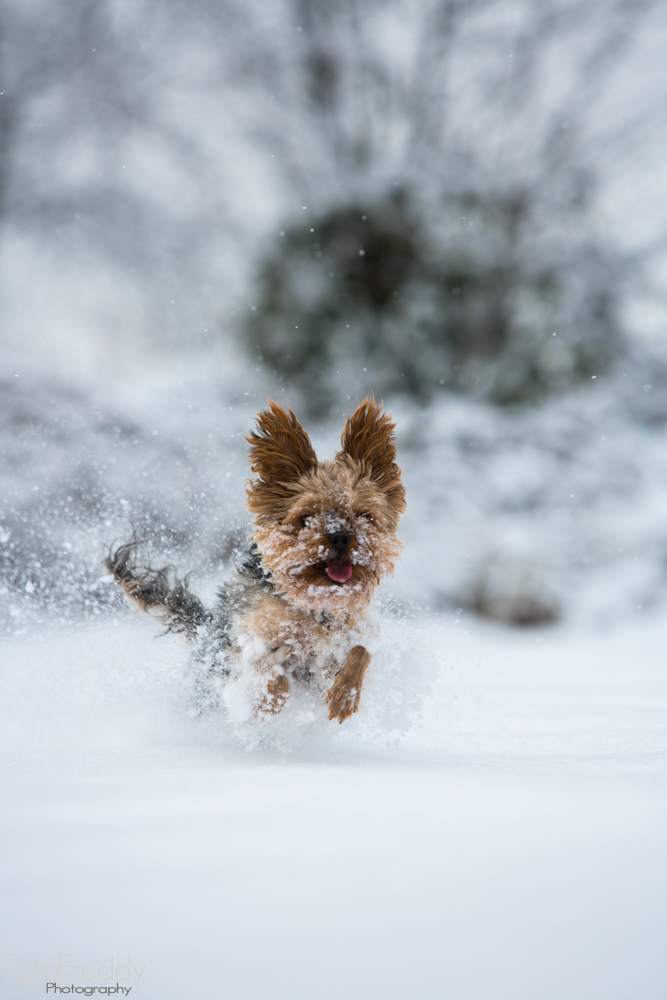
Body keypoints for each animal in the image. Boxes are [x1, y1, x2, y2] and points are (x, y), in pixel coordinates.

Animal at [107, 400, 404, 728]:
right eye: (305, 518)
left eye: (365, 515)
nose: (340, 536)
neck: (313, 604)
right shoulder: (250, 640)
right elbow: (273, 673)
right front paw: (267, 707)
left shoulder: (347, 637)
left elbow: (361, 653)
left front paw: (344, 697)